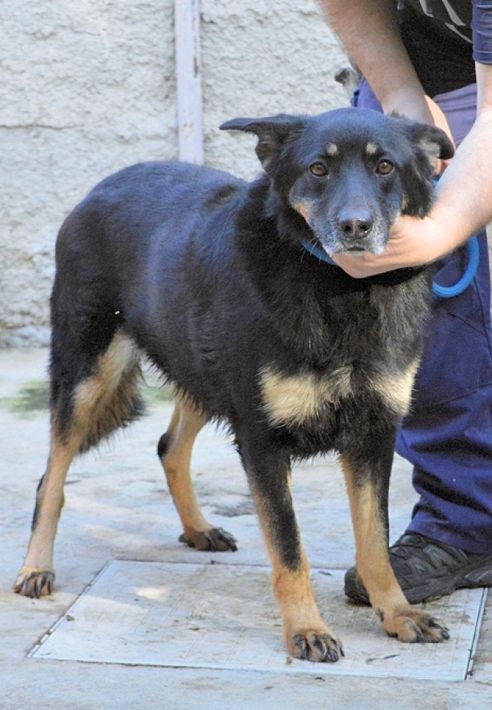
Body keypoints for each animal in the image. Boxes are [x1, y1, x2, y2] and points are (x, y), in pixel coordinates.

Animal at [15, 107, 454, 662]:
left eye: (385, 167)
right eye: (318, 169)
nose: (355, 226)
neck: (340, 287)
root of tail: (100, 187)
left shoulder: (373, 435)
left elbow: (375, 542)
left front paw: (398, 614)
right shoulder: (262, 440)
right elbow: (289, 549)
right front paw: (307, 629)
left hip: (200, 368)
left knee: (169, 447)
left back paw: (197, 529)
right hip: (87, 372)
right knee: (52, 476)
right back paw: (36, 567)